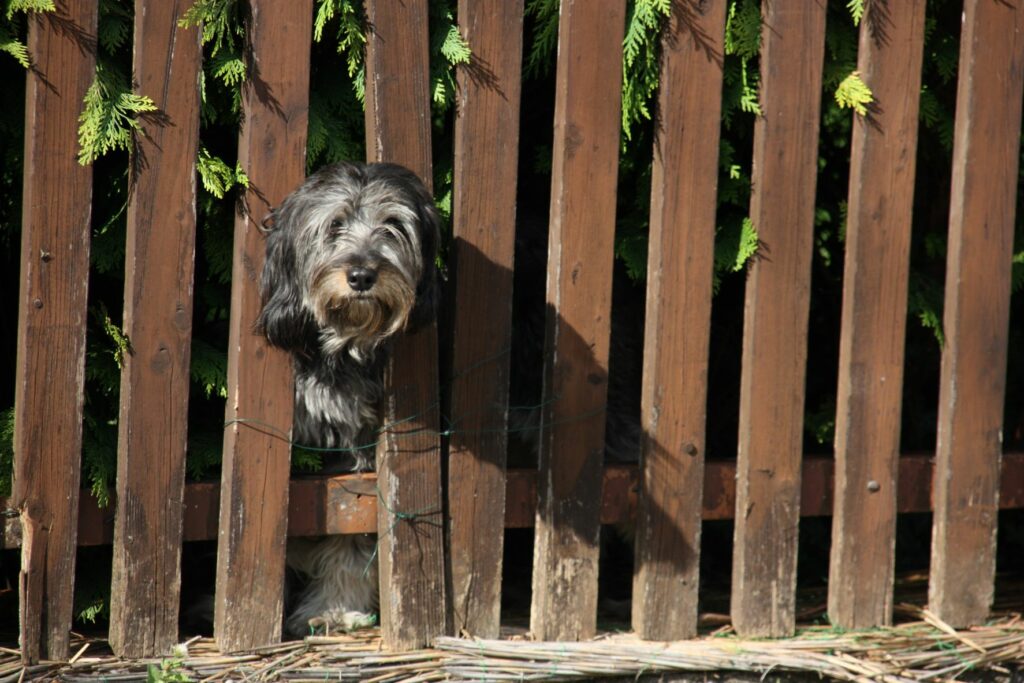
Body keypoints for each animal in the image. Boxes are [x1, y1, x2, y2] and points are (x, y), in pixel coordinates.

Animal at [256, 160, 440, 634]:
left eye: (392, 225)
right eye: (334, 225)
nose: (361, 275)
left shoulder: (357, 450)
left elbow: (351, 532)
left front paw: (334, 607)